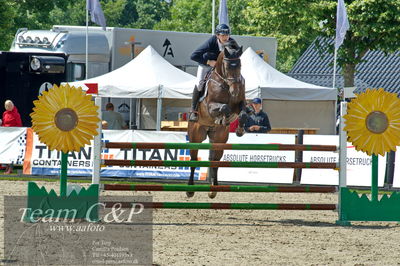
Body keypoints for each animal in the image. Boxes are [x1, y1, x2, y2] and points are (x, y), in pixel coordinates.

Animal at [187, 44, 247, 197]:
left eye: (240, 65)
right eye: (227, 66)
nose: (235, 91)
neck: (225, 84)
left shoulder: (240, 103)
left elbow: (243, 113)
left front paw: (239, 129)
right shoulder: (210, 106)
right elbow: (225, 107)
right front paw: (224, 118)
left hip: (219, 139)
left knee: (215, 162)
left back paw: (213, 189)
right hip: (196, 137)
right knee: (193, 160)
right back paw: (190, 189)